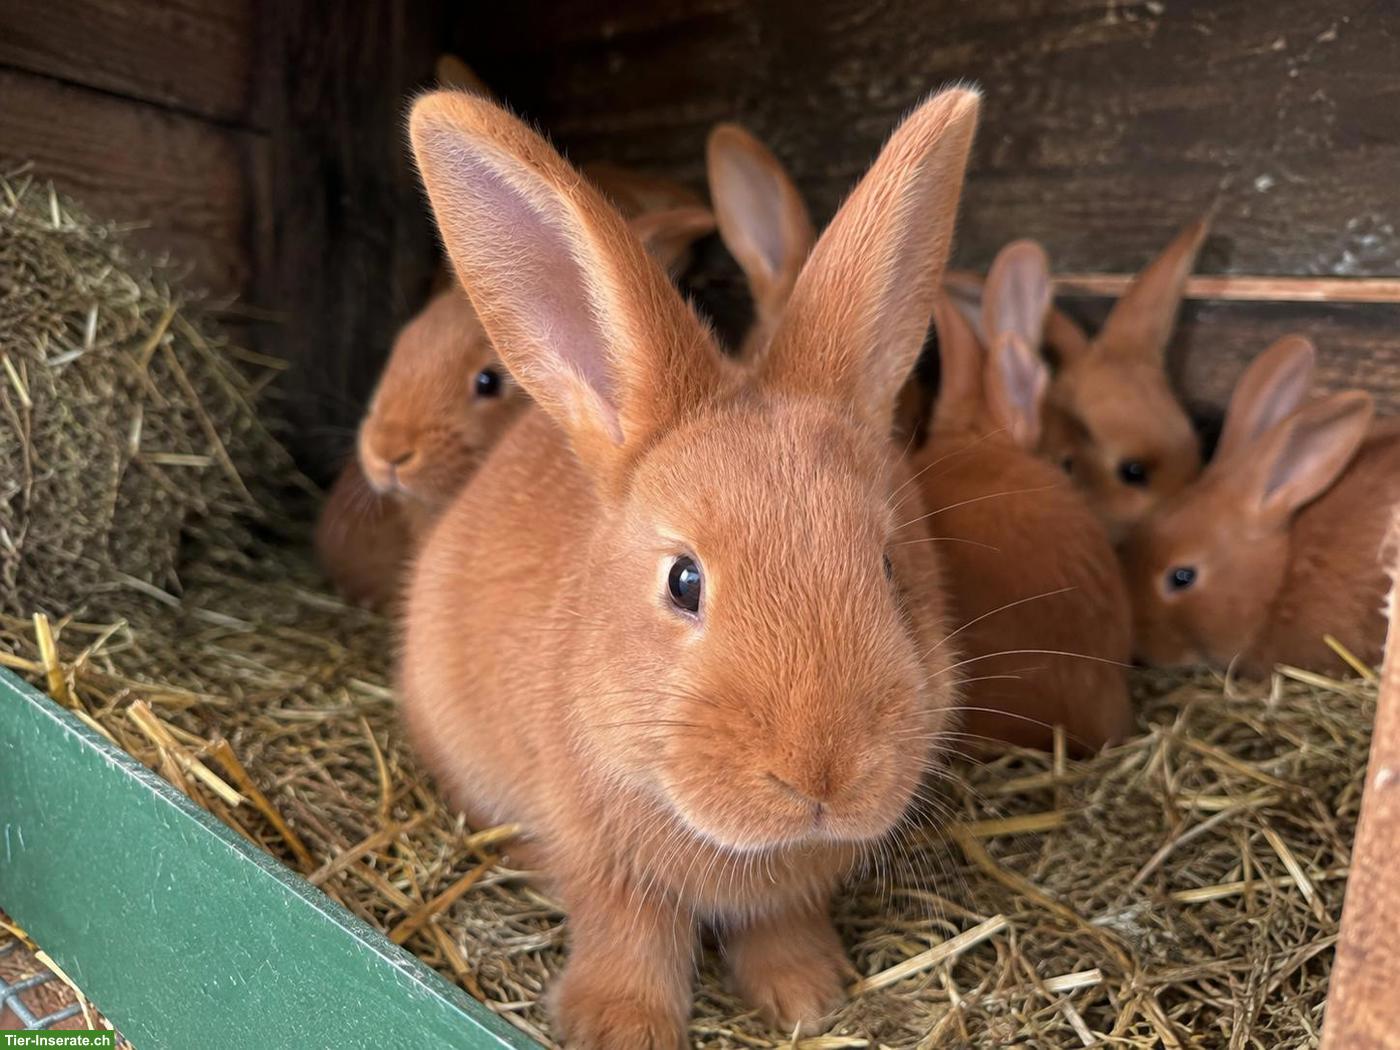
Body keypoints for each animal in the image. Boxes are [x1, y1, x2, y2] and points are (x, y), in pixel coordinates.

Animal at [402, 85, 981, 1047]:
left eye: (890, 566)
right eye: (684, 582)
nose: (823, 776)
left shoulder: (786, 892)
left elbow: (779, 924)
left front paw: (807, 996)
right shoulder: (604, 863)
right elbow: (627, 934)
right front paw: (619, 1028)